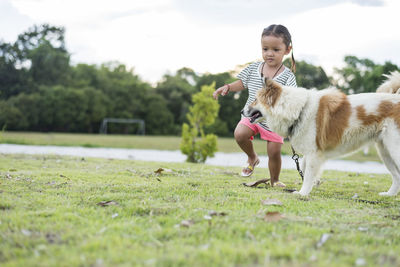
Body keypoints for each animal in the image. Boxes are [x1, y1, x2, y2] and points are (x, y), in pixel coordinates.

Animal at [244, 73, 400, 197]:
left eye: (255, 100)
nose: (241, 111)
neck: (299, 110)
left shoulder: (314, 153)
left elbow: (307, 175)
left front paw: (303, 193)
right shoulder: (310, 152)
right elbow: (304, 169)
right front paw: (313, 184)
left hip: (394, 148)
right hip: (385, 152)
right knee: (397, 176)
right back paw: (389, 195)